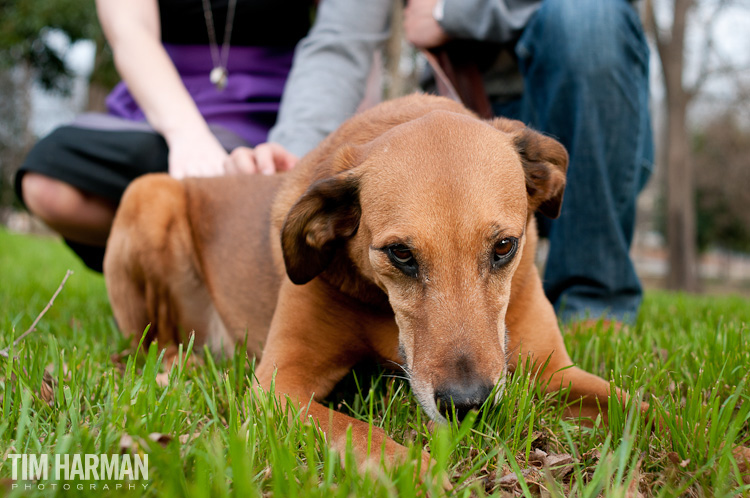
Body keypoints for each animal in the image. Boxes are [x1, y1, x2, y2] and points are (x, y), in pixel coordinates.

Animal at [107, 95, 628, 468]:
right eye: (401, 253)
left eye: (504, 246)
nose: (467, 405)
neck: (382, 309)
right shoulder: (278, 385)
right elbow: (360, 434)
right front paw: (418, 473)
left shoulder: (555, 374)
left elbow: (636, 405)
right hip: (147, 193)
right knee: (147, 339)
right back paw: (176, 364)